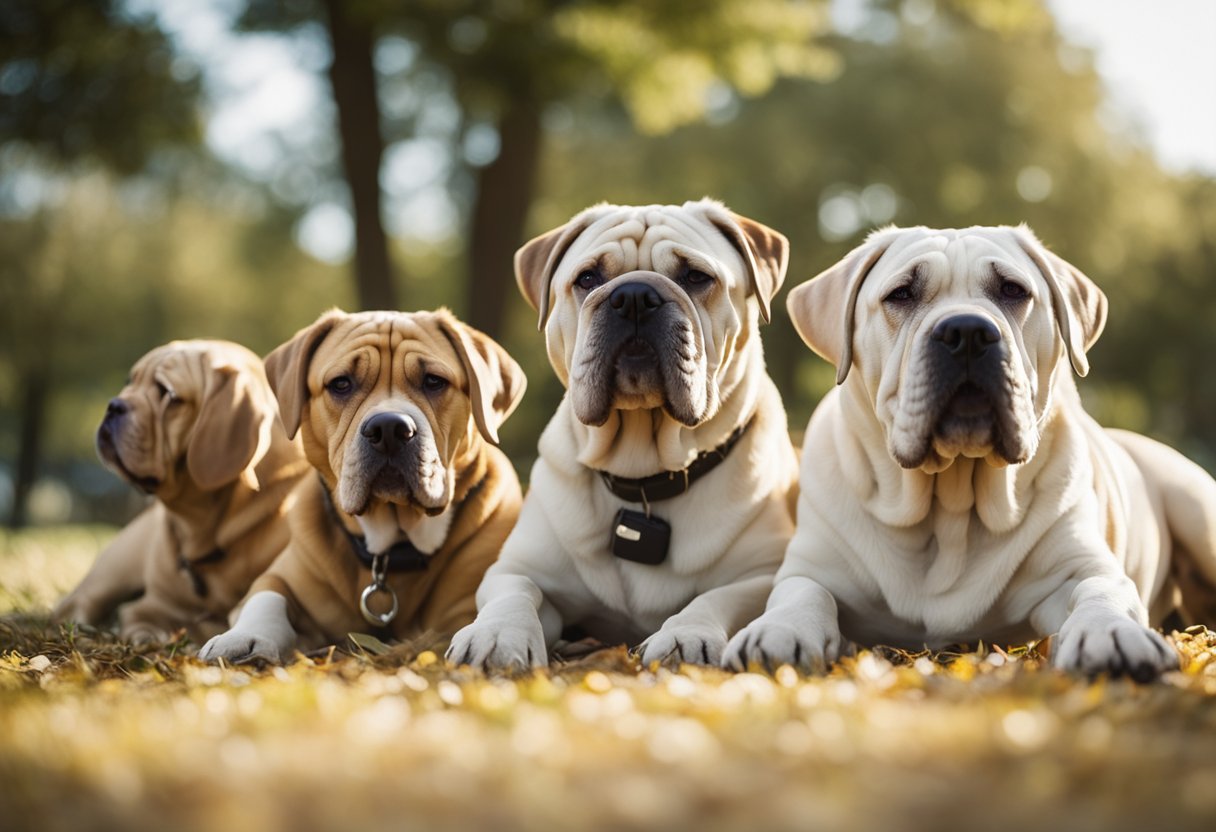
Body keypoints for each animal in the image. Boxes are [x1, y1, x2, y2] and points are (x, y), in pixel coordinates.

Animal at [55, 338, 308, 642]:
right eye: (129, 382)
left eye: (166, 393)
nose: (113, 405)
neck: (202, 529)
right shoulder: (152, 606)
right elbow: (143, 623)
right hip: (110, 575)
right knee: (76, 605)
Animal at [196, 306, 525, 661]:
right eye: (341, 383)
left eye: (434, 381)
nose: (390, 428)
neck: (390, 549)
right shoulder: (278, 577)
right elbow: (267, 598)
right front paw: (245, 636)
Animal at [447, 199, 797, 671]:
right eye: (588, 278)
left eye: (696, 277)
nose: (633, 296)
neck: (644, 475)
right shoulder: (518, 568)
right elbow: (516, 593)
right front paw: (496, 634)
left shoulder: (760, 573)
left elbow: (714, 598)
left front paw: (685, 635)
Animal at [719, 223, 1216, 681]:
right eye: (902, 294)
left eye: (1013, 290)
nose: (967, 330)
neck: (949, 504)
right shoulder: (813, 568)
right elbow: (802, 592)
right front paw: (779, 629)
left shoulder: (1083, 567)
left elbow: (1101, 592)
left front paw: (1111, 633)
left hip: (1197, 511)